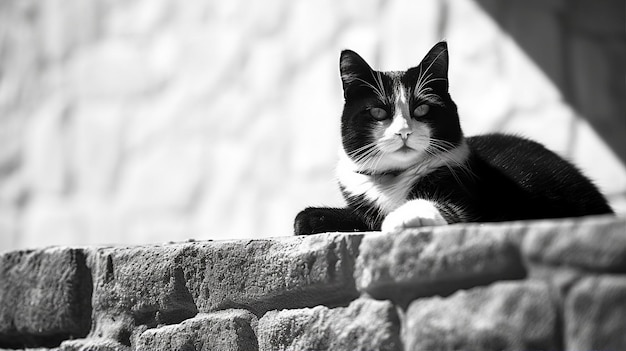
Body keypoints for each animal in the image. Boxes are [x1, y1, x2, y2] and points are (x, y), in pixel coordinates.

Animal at [292, 42, 608, 236]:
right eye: (378, 111)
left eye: (421, 109)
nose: (403, 131)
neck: (394, 179)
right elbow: (357, 217)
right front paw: (309, 218)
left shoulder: (469, 194)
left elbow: (447, 209)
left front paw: (400, 217)